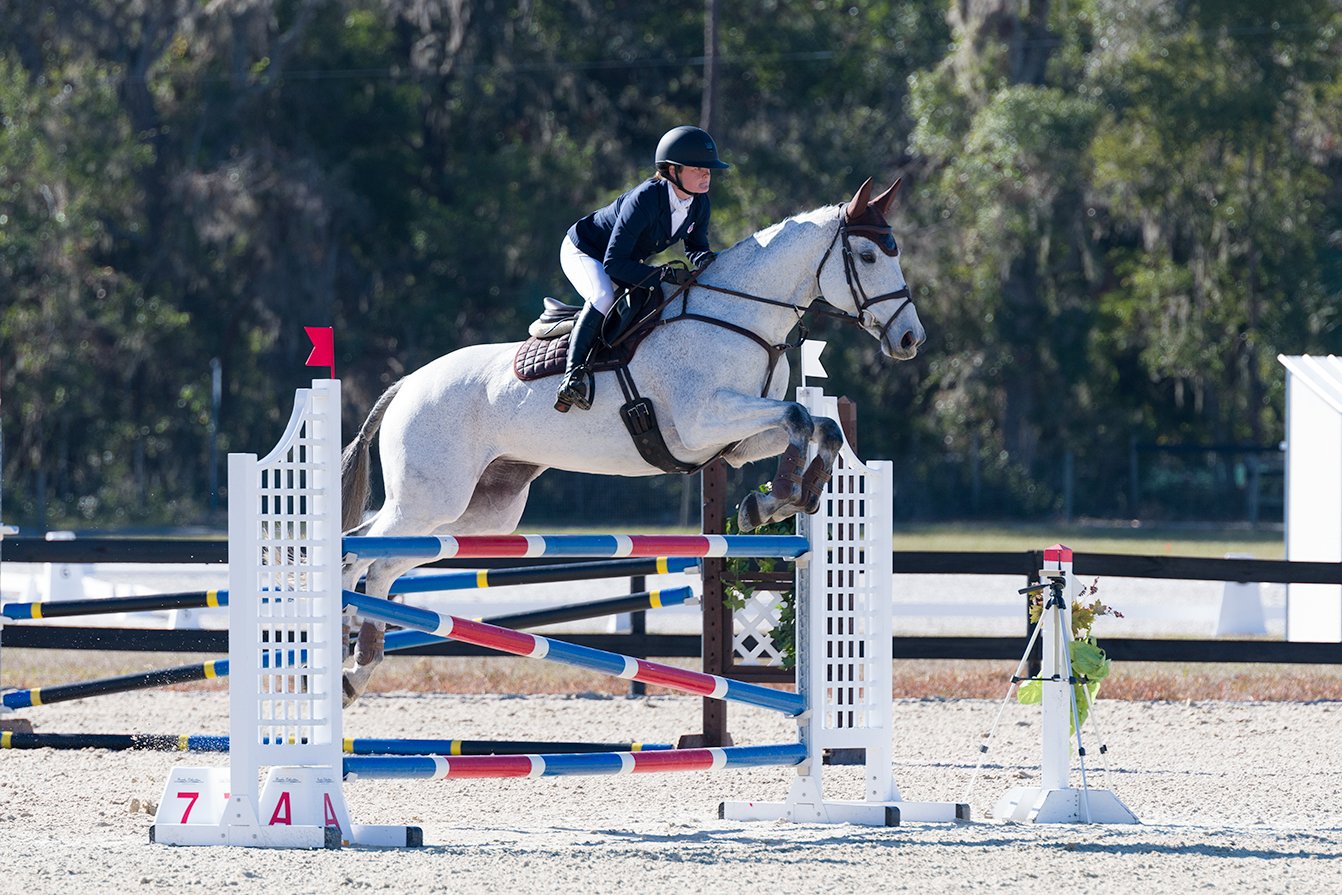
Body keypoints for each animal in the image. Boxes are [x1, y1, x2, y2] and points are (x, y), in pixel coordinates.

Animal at [338, 177, 925, 704]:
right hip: (429, 498)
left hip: (478, 513)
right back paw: (344, 651)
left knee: (381, 561)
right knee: (359, 553)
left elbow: (819, 425)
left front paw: (777, 502)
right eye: (868, 255)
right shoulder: (703, 423)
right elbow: (800, 416)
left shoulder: (736, 441)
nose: (910, 339)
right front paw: (775, 498)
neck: (737, 316)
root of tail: (407, 383)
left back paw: (357, 670)